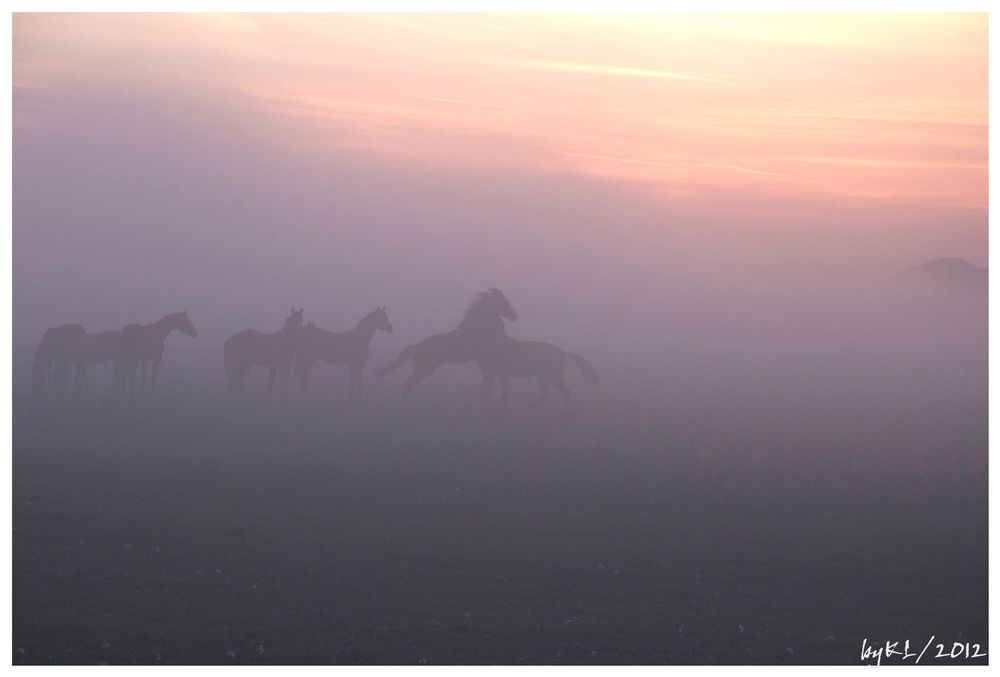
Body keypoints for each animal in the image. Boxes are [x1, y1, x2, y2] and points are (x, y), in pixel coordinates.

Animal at [376, 288, 516, 410]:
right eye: (504, 302)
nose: (514, 316)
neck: (477, 326)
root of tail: (416, 346)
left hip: (425, 369)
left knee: (409, 384)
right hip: (425, 369)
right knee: (408, 383)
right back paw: (400, 409)